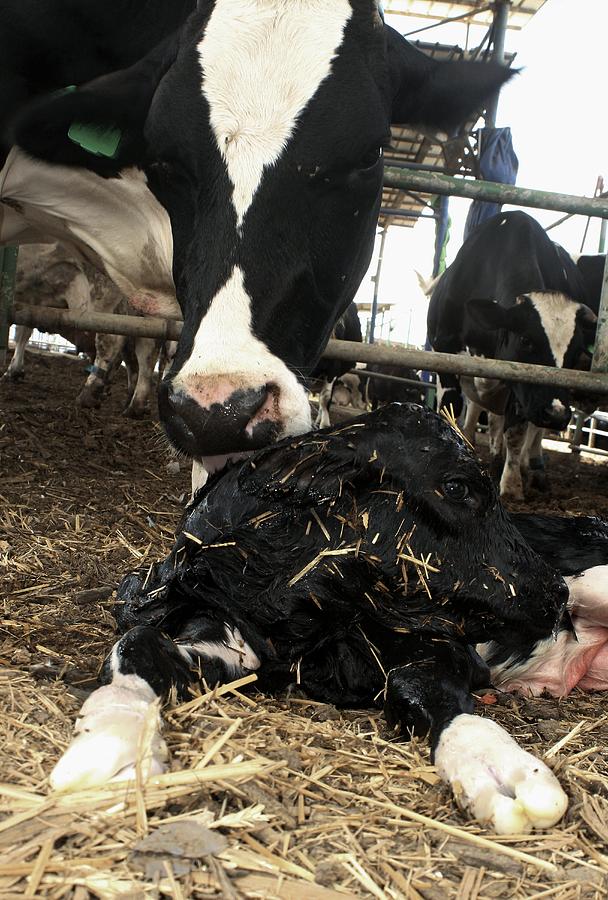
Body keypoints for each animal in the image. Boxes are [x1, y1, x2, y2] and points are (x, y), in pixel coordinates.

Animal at [50, 400, 600, 836]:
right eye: (458, 487)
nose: (553, 593)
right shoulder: (228, 639)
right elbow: (137, 641)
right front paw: (114, 743)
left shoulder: (439, 646)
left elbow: (428, 688)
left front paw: (498, 765)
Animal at [428, 212, 600, 500]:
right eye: (526, 340)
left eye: (576, 352)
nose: (557, 415)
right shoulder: (444, 350)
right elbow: (450, 408)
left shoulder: (520, 386)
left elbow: (517, 432)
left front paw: (510, 484)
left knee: (526, 432)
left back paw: (530, 469)